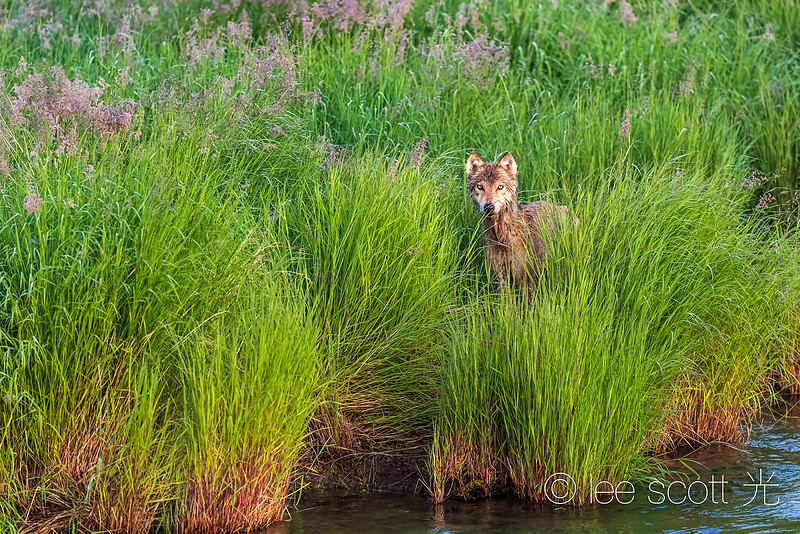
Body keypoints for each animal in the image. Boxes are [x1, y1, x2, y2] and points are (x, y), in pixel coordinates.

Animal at [466, 150, 578, 290]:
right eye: (480, 186)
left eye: (500, 187)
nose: (489, 207)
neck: (502, 237)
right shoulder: (502, 279)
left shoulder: (526, 280)